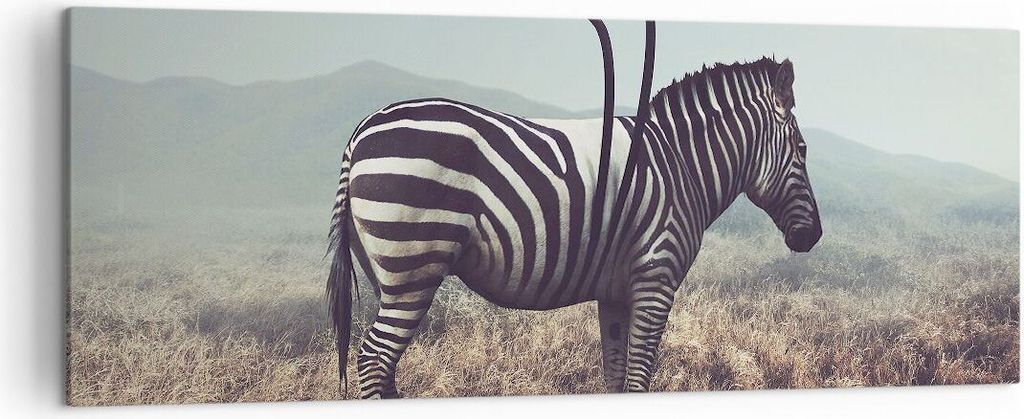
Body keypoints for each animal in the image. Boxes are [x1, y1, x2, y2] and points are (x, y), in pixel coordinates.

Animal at [326, 57, 822, 398]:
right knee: (374, 359)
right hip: (414, 267)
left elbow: (618, 379)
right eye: (802, 149)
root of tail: (361, 131)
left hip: (388, 274)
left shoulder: (617, 290)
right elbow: (639, 381)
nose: (812, 236)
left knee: (383, 366)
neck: (679, 165)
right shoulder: (655, 280)